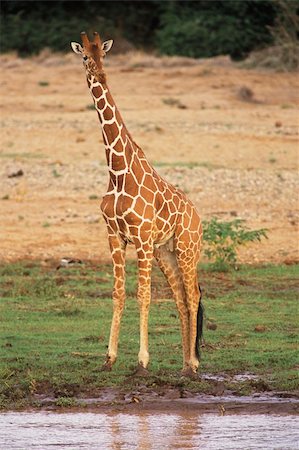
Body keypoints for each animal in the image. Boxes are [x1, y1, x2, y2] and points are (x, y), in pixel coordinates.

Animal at [71, 32, 205, 376]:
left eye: (103, 55)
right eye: (85, 56)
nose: (100, 74)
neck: (118, 172)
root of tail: (198, 217)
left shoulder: (142, 238)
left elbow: (143, 295)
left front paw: (143, 360)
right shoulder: (115, 236)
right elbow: (118, 293)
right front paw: (109, 358)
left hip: (187, 249)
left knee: (194, 295)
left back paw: (194, 363)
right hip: (165, 253)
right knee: (180, 297)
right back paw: (184, 363)